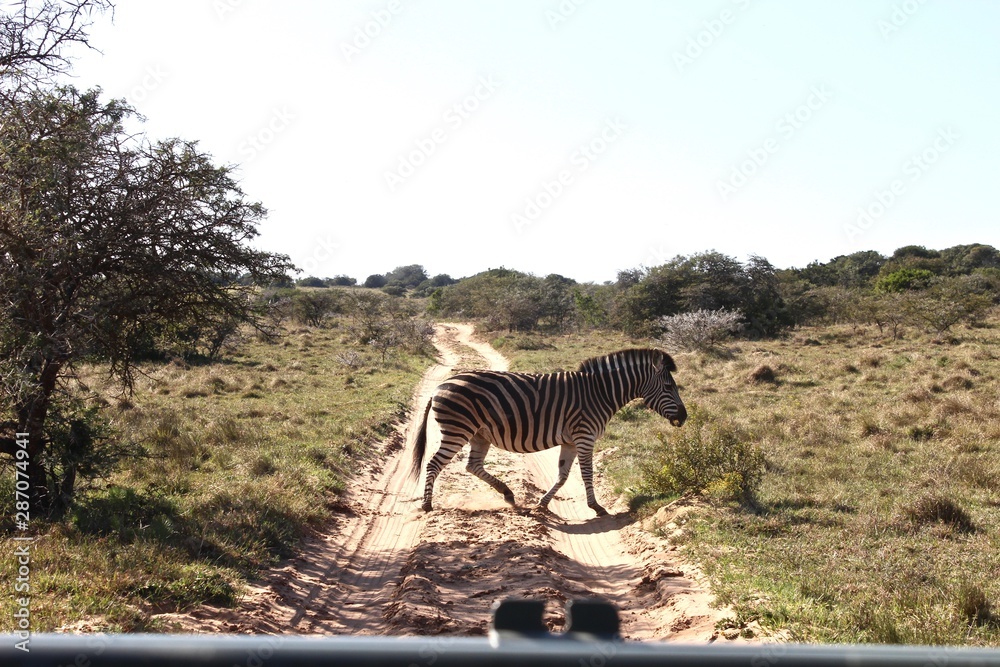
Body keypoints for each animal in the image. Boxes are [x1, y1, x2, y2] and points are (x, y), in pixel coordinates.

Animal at [410, 348, 687, 517]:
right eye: (669, 387)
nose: (684, 417)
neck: (600, 393)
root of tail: (439, 386)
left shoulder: (572, 441)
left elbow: (563, 475)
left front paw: (541, 504)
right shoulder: (584, 436)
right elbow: (586, 473)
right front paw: (596, 507)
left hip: (479, 434)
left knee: (472, 466)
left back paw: (508, 494)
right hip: (457, 429)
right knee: (434, 464)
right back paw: (427, 505)